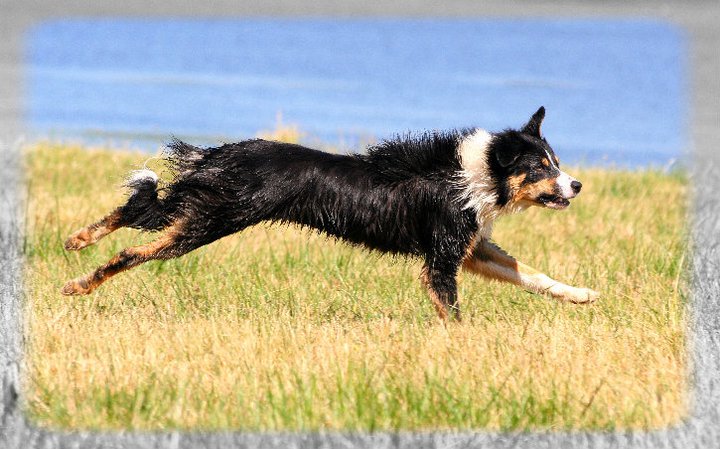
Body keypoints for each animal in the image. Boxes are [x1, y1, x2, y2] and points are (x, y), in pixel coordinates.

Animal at [62, 107, 600, 320]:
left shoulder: (471, 249)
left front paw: (582, 295)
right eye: (541, 167)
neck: (480, 172)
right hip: (212, 219)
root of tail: (226, 152)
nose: (577, 184)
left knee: (137, 206)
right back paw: (81, 282)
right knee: (136, 247)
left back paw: (76, 243)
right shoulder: (443, 260)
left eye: (557, 162)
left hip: (201, 205)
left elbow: (532, 274)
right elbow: (453, 312)